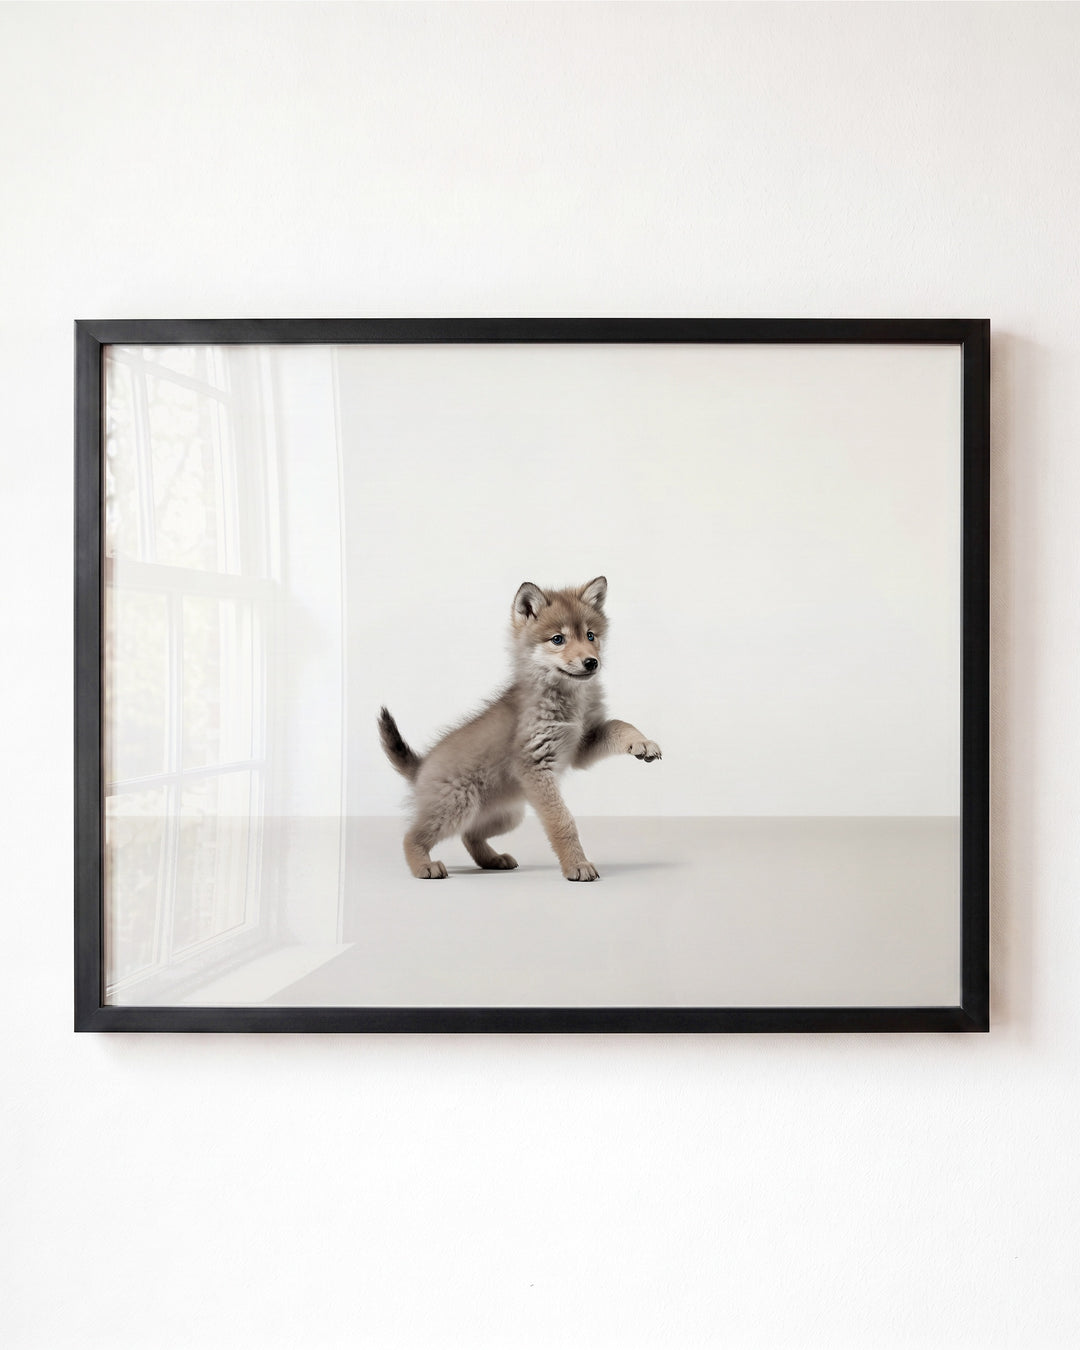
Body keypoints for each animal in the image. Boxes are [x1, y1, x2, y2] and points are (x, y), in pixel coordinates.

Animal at [378, 576, 661, 881]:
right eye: (557, 639)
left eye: (590, 635)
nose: (591, 662)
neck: (569, 699)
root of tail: (421, 766)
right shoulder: (536, 766)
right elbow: (562, 822)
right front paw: (576, 864)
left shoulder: (582, 744)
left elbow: (620, 724)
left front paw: (642, 742)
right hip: (457, 807)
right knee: (412, 836)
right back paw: (424, 866)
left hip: (506, 816)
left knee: (469, 835)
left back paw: (492, 859)